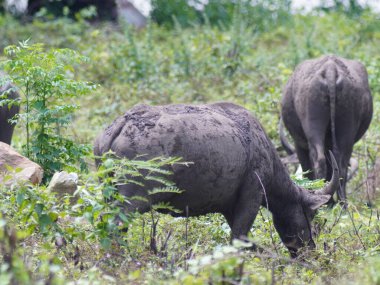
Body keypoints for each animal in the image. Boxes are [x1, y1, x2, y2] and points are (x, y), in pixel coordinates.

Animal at [94, 101, 338, 255]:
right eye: (310, 215)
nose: (309, 250)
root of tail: (121, 125)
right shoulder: (252, 196)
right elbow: (240, 241)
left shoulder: (230, 209)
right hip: (134, 199)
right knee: (116, 226)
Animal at [280, 55, 372, 202]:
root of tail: (330, 69)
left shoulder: (299, 145)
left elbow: (307, 170)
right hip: (347, 133)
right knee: (341, 166)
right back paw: (341, 203)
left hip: (313, 129)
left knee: (319, 161)